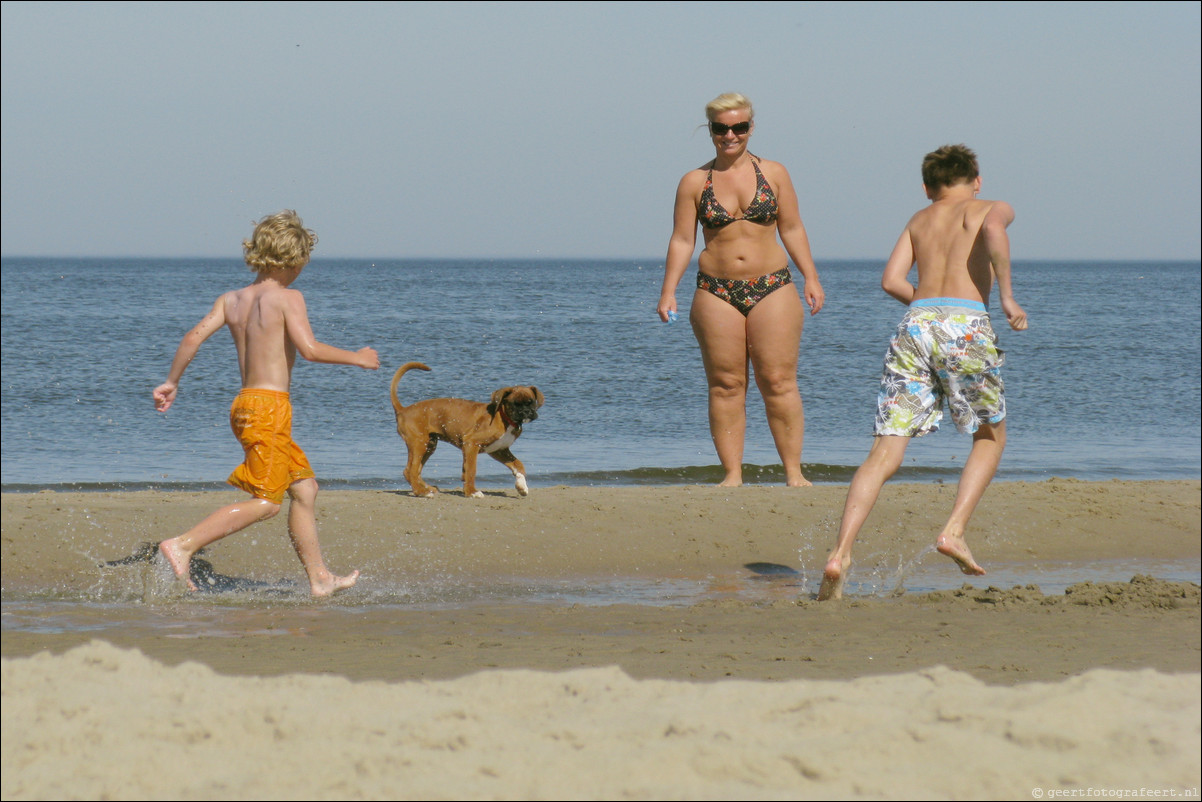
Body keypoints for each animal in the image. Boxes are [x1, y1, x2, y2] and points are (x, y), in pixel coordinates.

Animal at [389, 363, 545, 497]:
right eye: (515, 404)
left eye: (531, 402)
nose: (526, 412)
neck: (504, 417)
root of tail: (403, 410)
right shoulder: (471, 444)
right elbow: (471, 470)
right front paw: (471, 492)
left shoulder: (499, 450)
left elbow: (518, 465)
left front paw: (521, 486)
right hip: (420, 444)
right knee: (410, 471)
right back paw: (421, 492)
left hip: (429, 445)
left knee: (414, 471)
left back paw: (427, 488)